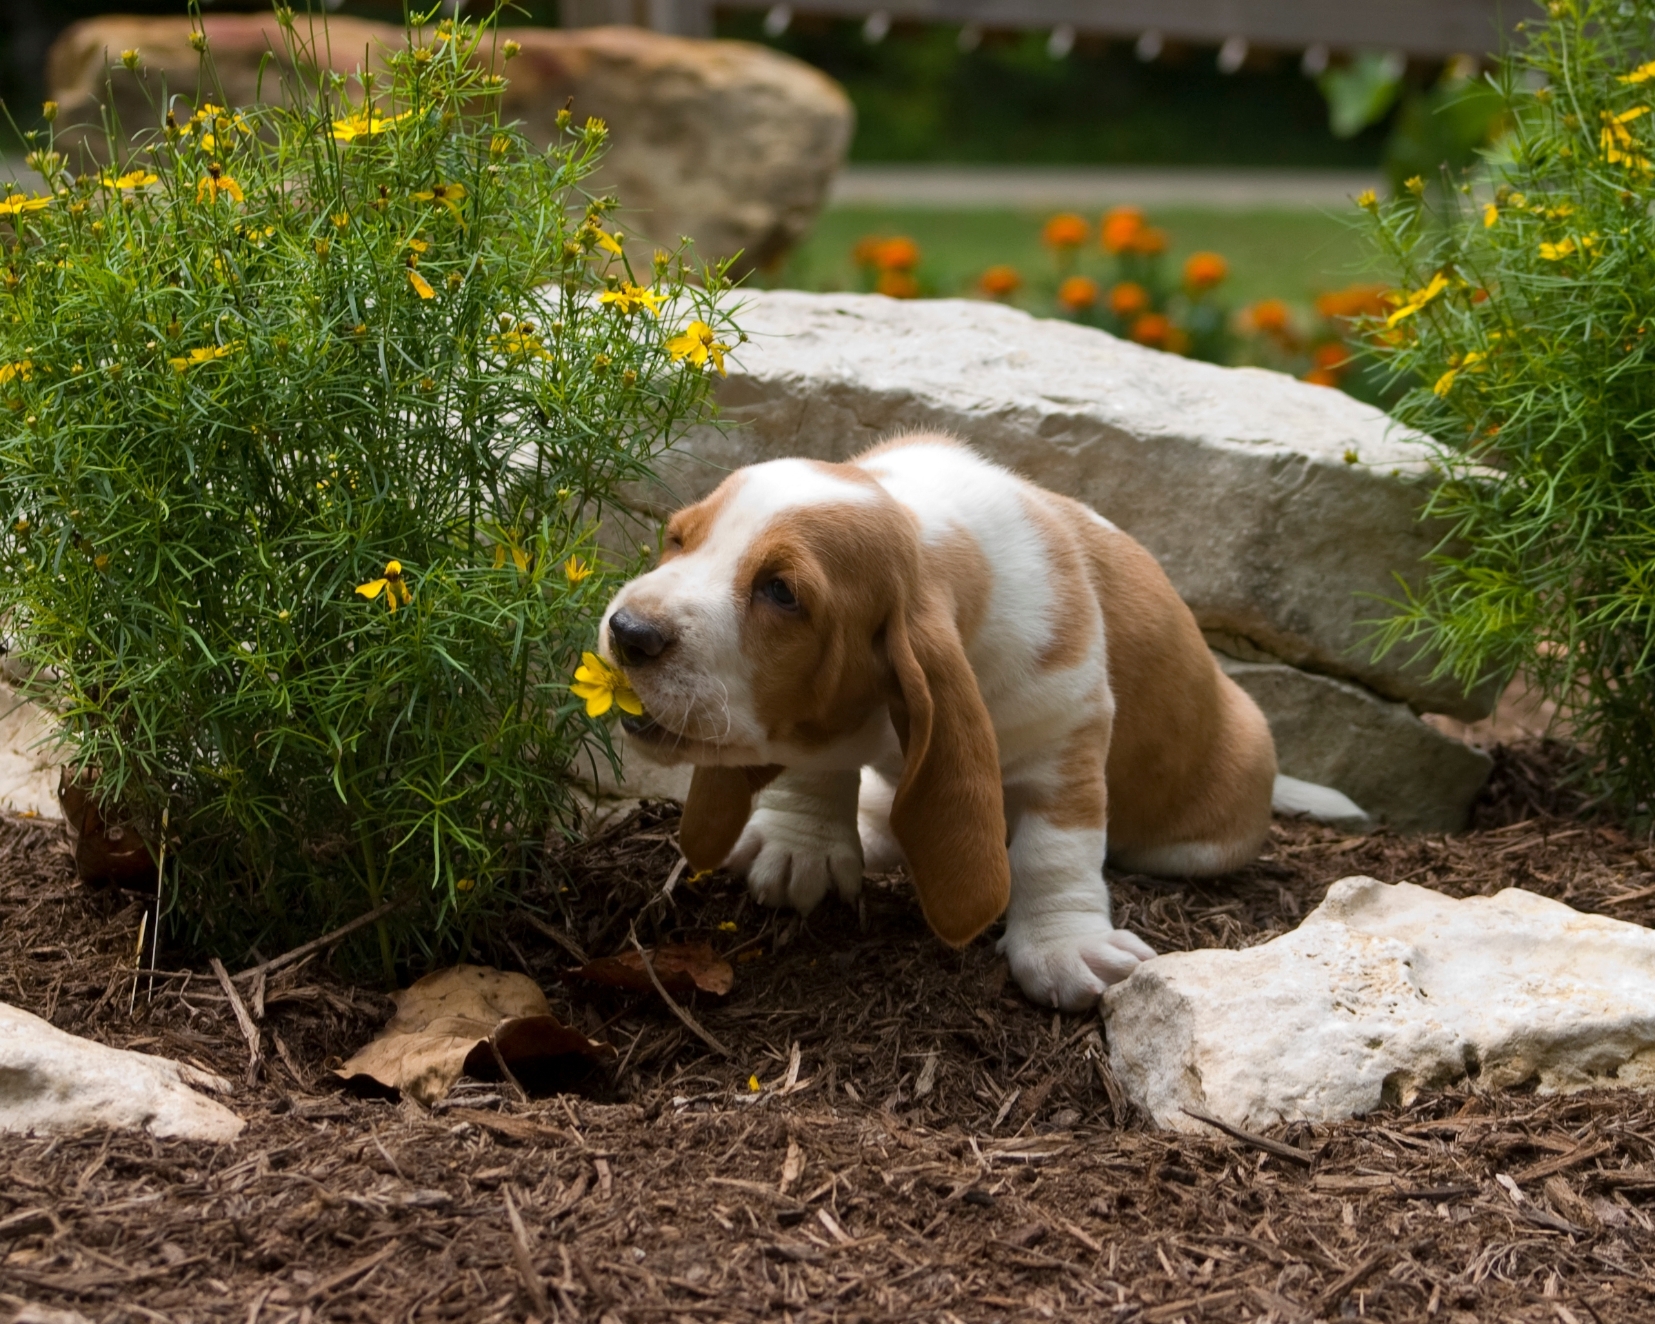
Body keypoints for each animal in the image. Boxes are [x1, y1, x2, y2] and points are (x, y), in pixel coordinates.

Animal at [595, 433, 1304, 1006]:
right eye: (678, 540)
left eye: (781, 592)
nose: (628, 632)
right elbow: (818, 763)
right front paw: (801, 843)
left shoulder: (1065, 734)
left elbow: (1056, 849)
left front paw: (1063, 947)